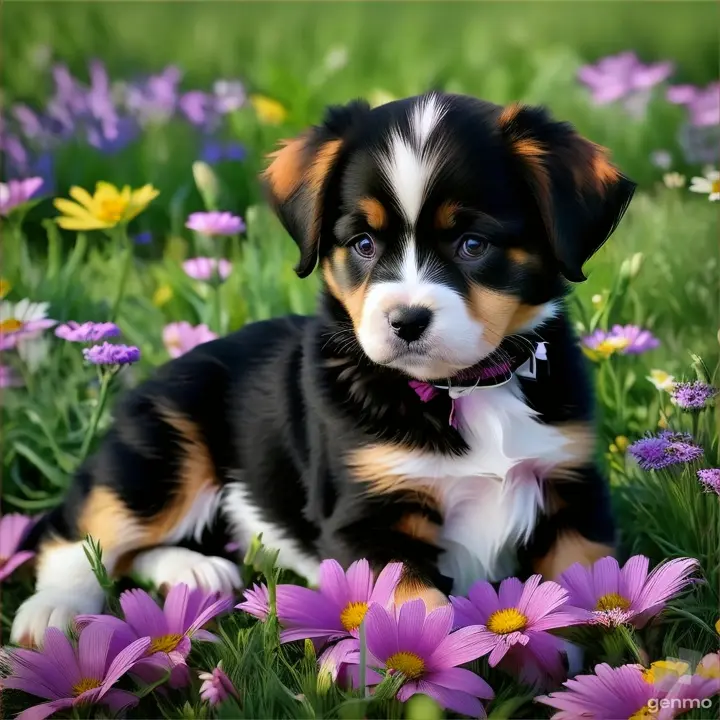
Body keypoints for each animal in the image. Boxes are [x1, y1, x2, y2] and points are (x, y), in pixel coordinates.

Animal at [8, 91, 632, 648]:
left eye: (473, 244)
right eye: (362, 243)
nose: (406, 321)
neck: (463, 391)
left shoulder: (573, 495)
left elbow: (594, 597)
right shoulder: (367, 519)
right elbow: (423, 615)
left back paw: (195, 571)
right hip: (164, 449)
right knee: (83, 528)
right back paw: (53, 613)